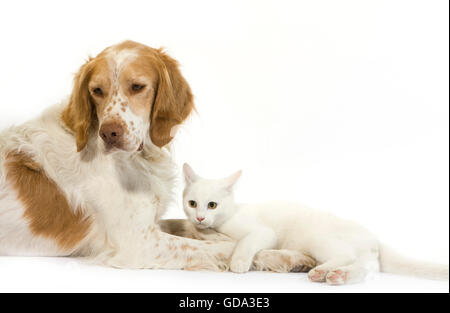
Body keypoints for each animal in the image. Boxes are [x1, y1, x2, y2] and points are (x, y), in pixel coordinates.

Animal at [181, 165, 448, 284]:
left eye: (212, 205)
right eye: (192, 203)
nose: (200, 218)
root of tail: (374, 238)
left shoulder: (263, 232)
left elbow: (246, 242)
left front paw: (238, 262)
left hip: (318, 239)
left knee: (347, 256)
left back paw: (323, 272)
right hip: (356, 254)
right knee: (366, 267)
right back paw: (340, 276)